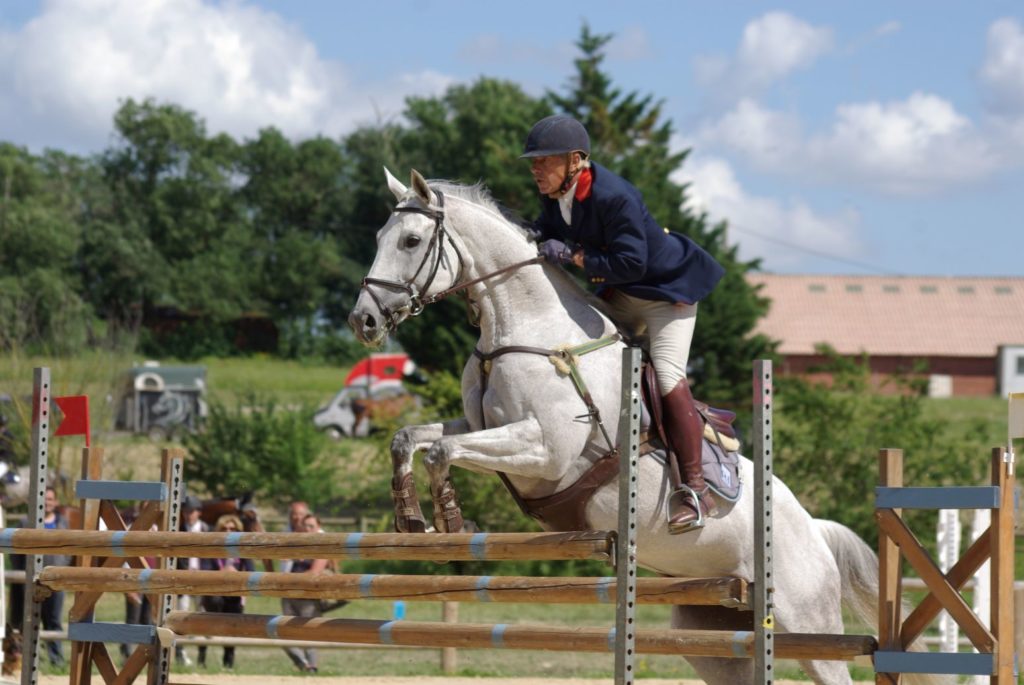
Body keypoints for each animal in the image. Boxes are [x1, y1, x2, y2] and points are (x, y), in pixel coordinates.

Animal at [348, 169, 937, 683]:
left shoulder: (547, 452)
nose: (363, 320)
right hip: (714, 635)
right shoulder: (481, 426)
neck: (526, 326)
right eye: (377, 236)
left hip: (805, 622)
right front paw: (410, 519)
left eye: (411, 240)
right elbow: (411, 439)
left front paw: (450, 521)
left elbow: (441, 452)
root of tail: (814, 529)